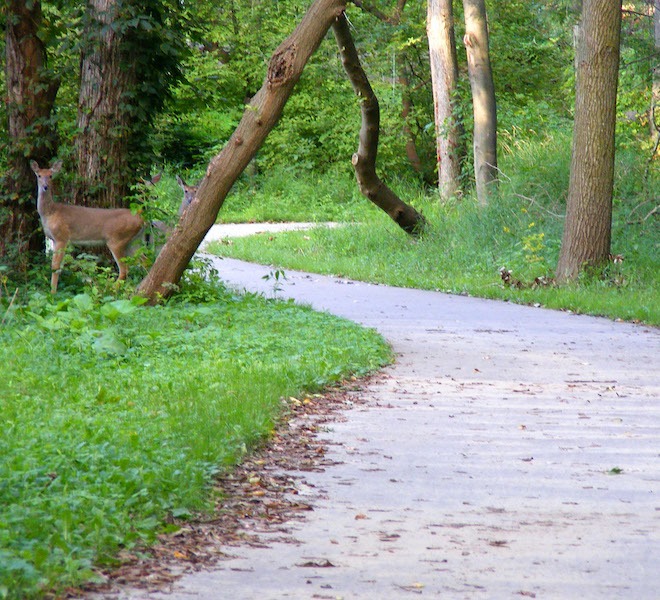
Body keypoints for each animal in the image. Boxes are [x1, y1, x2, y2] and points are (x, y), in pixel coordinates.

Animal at [31, 160, 146, 293]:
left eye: (50, 176)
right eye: (39, 175)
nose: (45, 187)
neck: (50, 212)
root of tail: (142, 218)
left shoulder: (62, 237)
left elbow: (55, 266)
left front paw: (52, 293)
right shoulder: (54, 240)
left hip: (116, 240)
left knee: (125, 269)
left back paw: (110, 289)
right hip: (134, 240)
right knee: (145, 261)